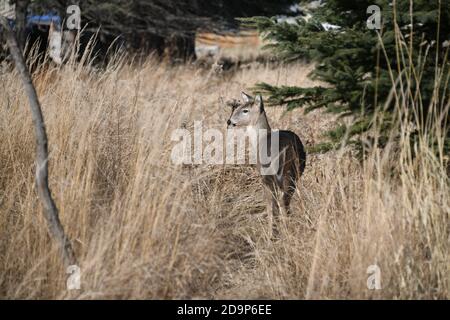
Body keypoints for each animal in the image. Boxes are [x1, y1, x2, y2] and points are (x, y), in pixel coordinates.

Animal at [225, 91, 306, 228]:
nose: (229, 121)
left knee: (279, 200)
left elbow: (270, 204)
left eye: (245, 110)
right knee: (295, 195)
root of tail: (289, 147)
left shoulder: (263, 176)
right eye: (237, 108)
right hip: (295, 171)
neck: (260, 139)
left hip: (272, 174)